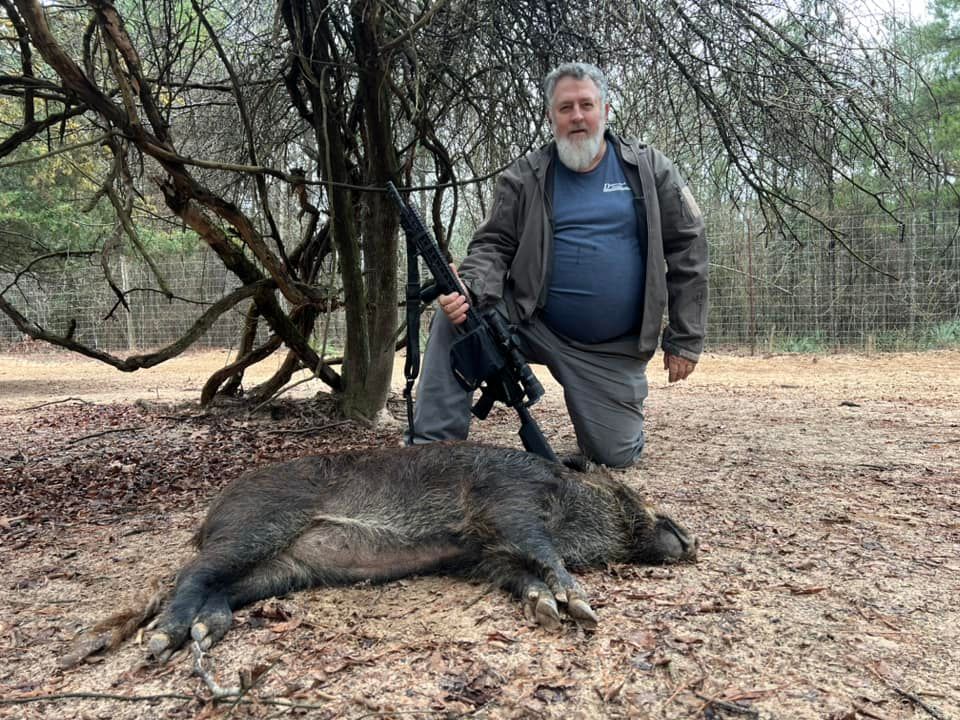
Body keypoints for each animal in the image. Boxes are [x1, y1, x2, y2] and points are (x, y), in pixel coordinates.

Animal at [65, 442, 697, 664]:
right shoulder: (507, 502)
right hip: (255, 526)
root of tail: (207, 517)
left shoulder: (483, 556)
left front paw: (546, 610)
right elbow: (541, 553)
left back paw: (200, 633)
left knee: (211, 587)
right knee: (188, 577)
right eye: (622, 490)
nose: (691, 541)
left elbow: (519, 574)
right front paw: (583, 611)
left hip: (281, 569)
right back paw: (159, 645)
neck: (563, 502)